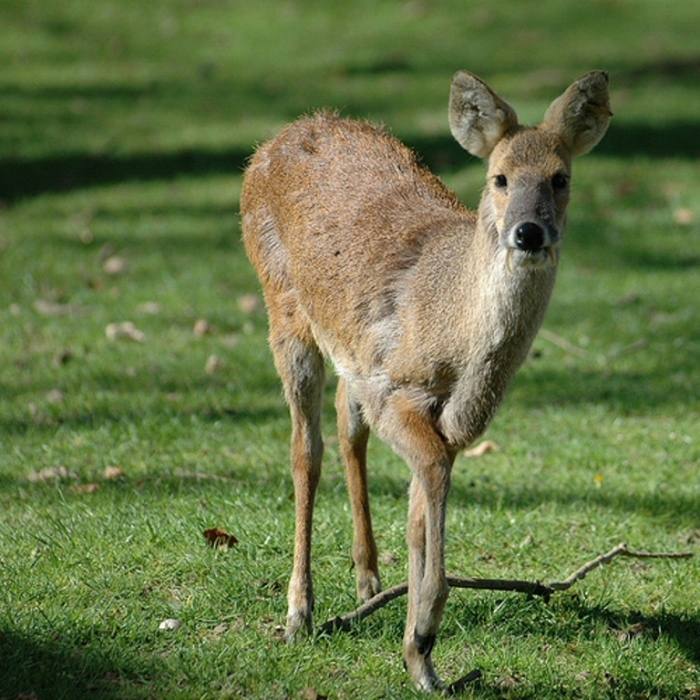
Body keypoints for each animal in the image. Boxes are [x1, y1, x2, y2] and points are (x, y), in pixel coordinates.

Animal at [240, 70, 611, 692]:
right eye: (499, 177)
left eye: (561, 178)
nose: (529, 232)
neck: (452, 332)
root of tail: (276, 140)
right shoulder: (396, 391)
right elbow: (429, 478)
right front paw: (422, 645)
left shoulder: (446, 418)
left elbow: (419, 513)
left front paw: (419, 651)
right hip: (284, 306)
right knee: (304, 449)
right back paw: (299, 614)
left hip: (348, 351)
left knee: (346, 426)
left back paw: (367, 582)